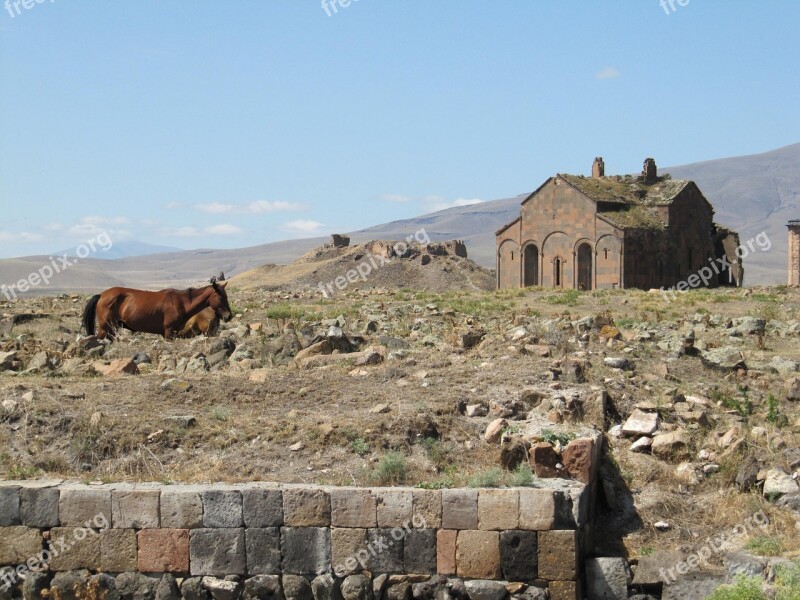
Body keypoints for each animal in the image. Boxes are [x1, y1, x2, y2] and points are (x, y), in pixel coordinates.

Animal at [82, 278, 233, 340]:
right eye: (221, 298)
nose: (229, 316)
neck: (181, 302)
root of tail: (102, 295)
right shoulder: (169, 332)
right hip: (104, 328)